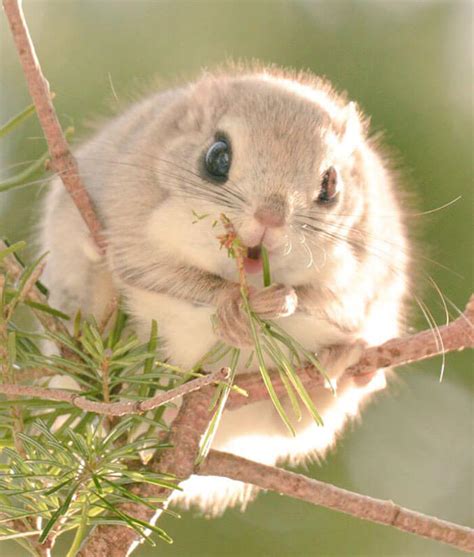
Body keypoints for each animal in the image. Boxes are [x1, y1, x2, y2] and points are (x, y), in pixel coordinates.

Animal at [41, 64, 412, 512]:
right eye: (217, 157)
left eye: (331, 184)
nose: (270, 217)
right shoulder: (132, 227)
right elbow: (168, 277)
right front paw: (234, 310)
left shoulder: (368, 274)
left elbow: (328, 302)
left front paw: (286, 304)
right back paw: (98, 277)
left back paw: (347, 364)